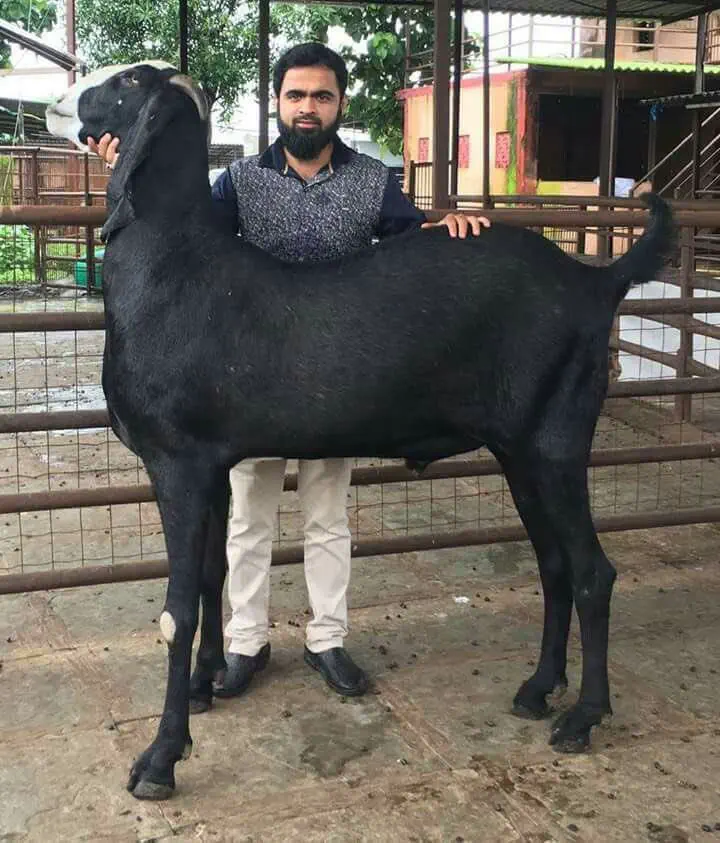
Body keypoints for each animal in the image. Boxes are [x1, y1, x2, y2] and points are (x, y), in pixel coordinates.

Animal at [46, 62, 673, 801]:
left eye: (127, 83)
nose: (58, 101)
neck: (175, 266)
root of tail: (594, 282)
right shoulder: (214, 464)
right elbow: (211, 573)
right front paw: (207, 682)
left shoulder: (177, 463)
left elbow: (176, 611)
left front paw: (160, 758)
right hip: (520, 449)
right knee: (555, 565)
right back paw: (539, 687)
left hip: (557, 442)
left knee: (593, 572)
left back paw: (583, 716)